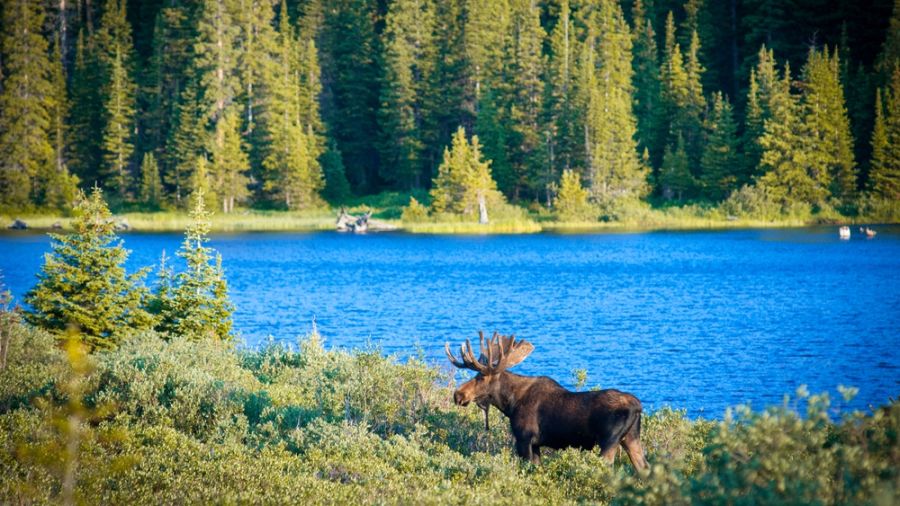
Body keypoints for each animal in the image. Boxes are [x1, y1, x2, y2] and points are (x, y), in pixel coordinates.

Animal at [444, 332, 648, 470]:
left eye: (481, 377)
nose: (458, 395)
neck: (510, 404)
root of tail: (638, 407)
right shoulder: (536, 444)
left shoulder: (524, 439)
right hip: (631, 438)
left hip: (609, 440)